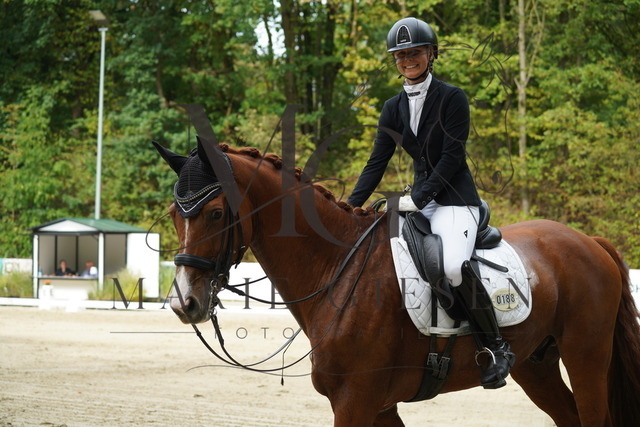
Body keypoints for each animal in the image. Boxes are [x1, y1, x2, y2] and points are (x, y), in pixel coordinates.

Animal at [154, 139, 640, 426]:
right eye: (176, 213)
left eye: (216, 212)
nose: (184, 303)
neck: (336, 267)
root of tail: (589, 241)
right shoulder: (379, 405)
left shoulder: (355, 402)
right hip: (536, 365)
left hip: (586, 357)